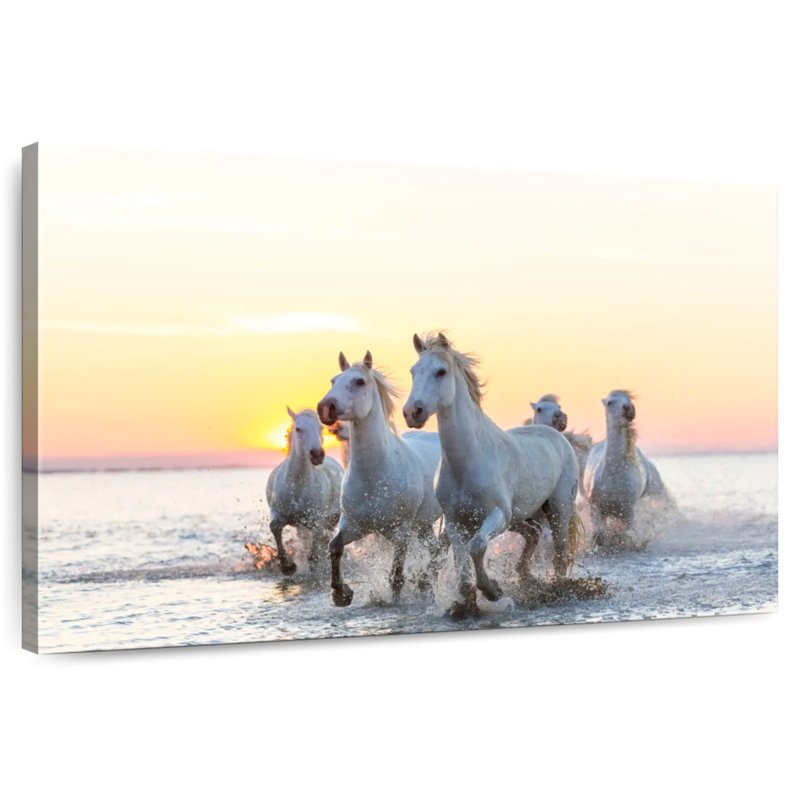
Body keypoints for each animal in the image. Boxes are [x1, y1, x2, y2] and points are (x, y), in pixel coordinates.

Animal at [266, 407, 344, 575]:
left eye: (321, 428)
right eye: (298, 429)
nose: (317, 455)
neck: (297, 486)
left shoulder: (317, 519)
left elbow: (314, 551)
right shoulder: (278, 512)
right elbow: (274, 527)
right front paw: (287, 566)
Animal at [317, 351, 444, 607]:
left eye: (359, 381)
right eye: (333, 381)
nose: (325, 408)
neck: (374, 476)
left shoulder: (401, 532)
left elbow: (396, 577)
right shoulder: (354, 525)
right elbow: (334, 547)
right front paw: (341, 593)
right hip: (422, 524)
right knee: (434, 548)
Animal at [404, 333, 583, 619]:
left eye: (441, 371)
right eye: (413, 371)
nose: (412, 412)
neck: (467, 463)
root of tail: (558, 437)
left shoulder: (496, 514)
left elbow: (477, 547)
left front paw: (493, 591)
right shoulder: (455, 522)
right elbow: (462, 562)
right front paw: (466, 601)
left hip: (557, 510)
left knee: (559, 553)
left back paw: (557, 589)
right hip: (521, 516)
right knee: (532, 534)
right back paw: (526, 578)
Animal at [583, 390, 671, 547]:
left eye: (629, 400)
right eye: (610, 402)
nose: (628, 409)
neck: (614, 474)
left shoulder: (628, 512)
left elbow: (626, 535)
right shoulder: (596, 508)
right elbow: (599, 535)